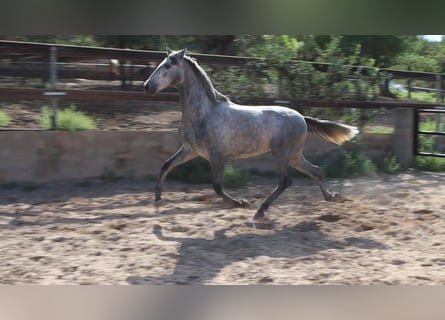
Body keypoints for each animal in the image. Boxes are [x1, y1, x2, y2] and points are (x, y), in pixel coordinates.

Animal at [144, 48, 360, 221]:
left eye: (167, 66)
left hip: (281, 153)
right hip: (294, 155)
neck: (204, 113)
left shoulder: (217, 155)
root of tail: (301, 117)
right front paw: (157, 198)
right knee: (316, 171)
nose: (147, 86)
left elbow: (217, 186)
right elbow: (166, 165)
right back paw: (331, 197)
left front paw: (241, 202)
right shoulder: (191, 150)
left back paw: (260, 211)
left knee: (285, 181)